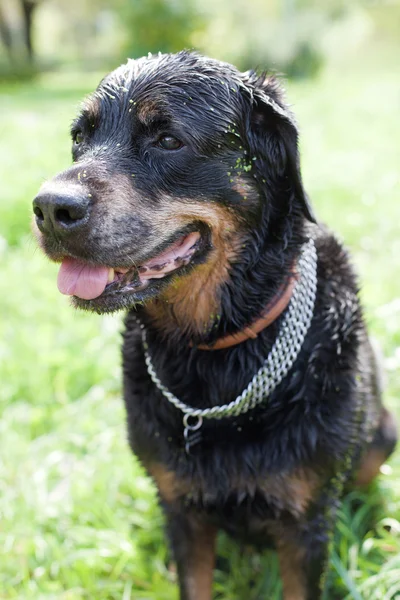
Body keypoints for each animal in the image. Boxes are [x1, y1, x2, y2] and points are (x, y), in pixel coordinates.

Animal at [33, 52, 396, 600]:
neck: (215, 355)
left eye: (168, 140)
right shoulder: (180, 508)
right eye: (79, 137)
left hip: (381, 436)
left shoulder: (305, 523)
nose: (51, 207)